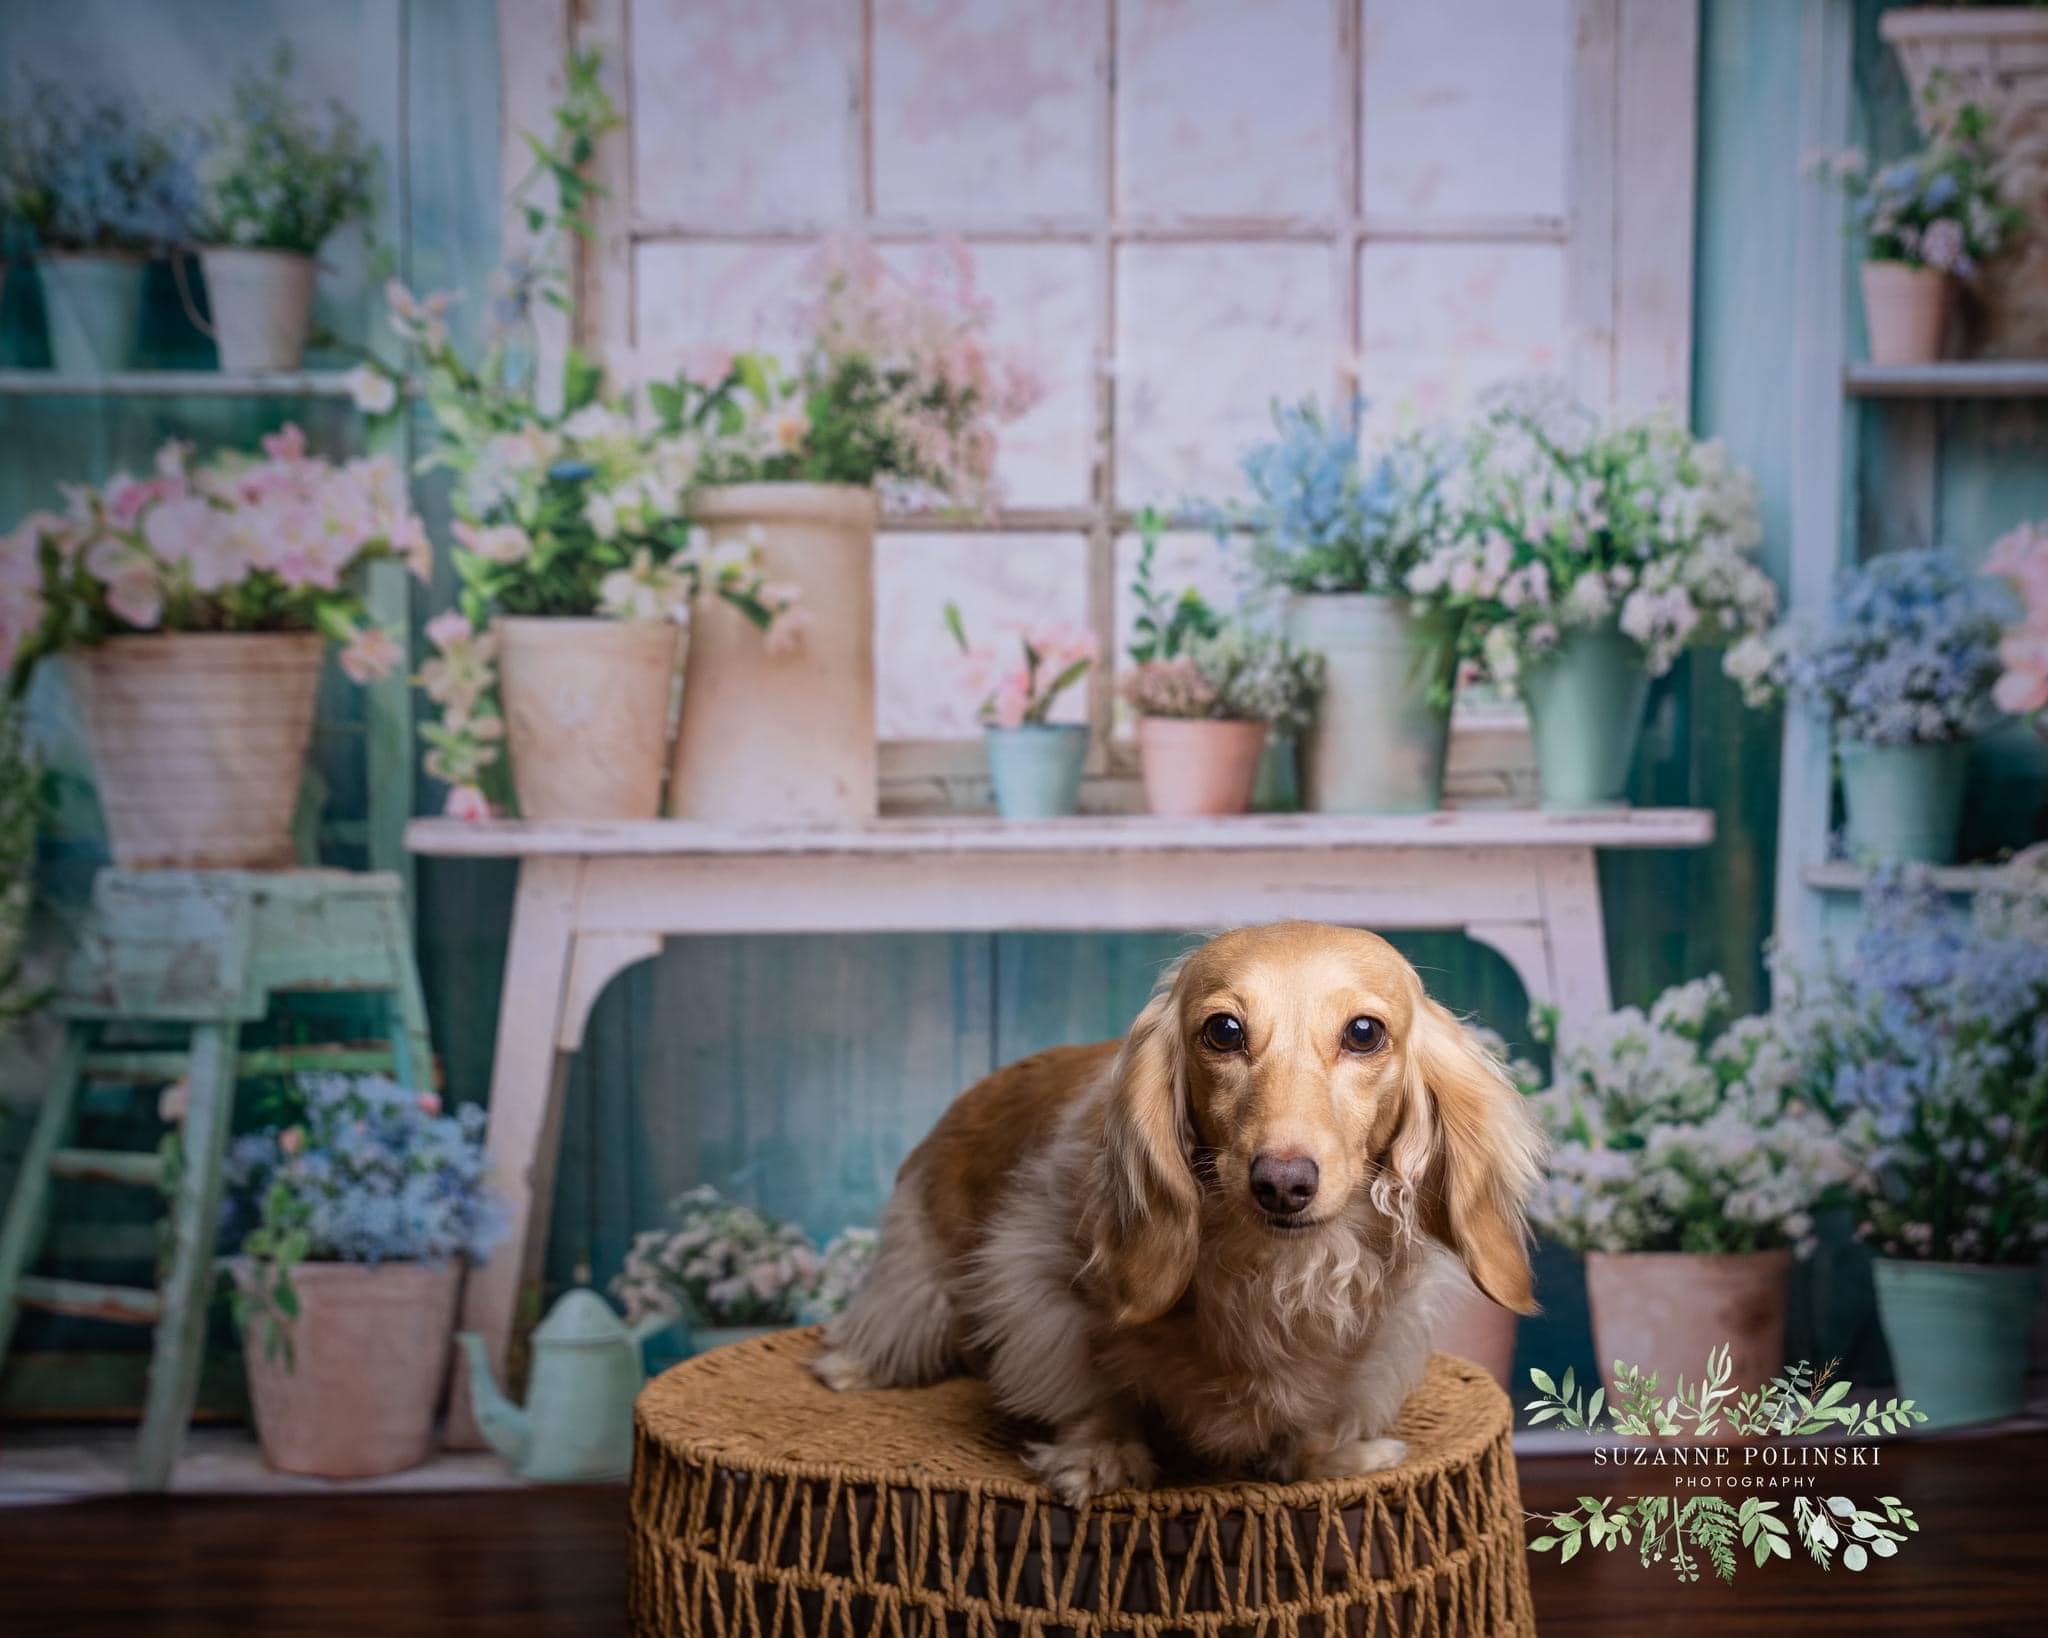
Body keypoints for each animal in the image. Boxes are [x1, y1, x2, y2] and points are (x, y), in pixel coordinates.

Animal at [811, 921, 1540, 1498]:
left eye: (1364, 1032)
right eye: (1223, 1030)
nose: (1282, 1184)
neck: (1276, 1265)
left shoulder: (1376, 1341)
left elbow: (1321, 1413)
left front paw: (1329, 1455)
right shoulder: (1036, 1286)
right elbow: (1090, 1391)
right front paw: (1101, 1455)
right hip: (919, 1280)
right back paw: (851, 1366)